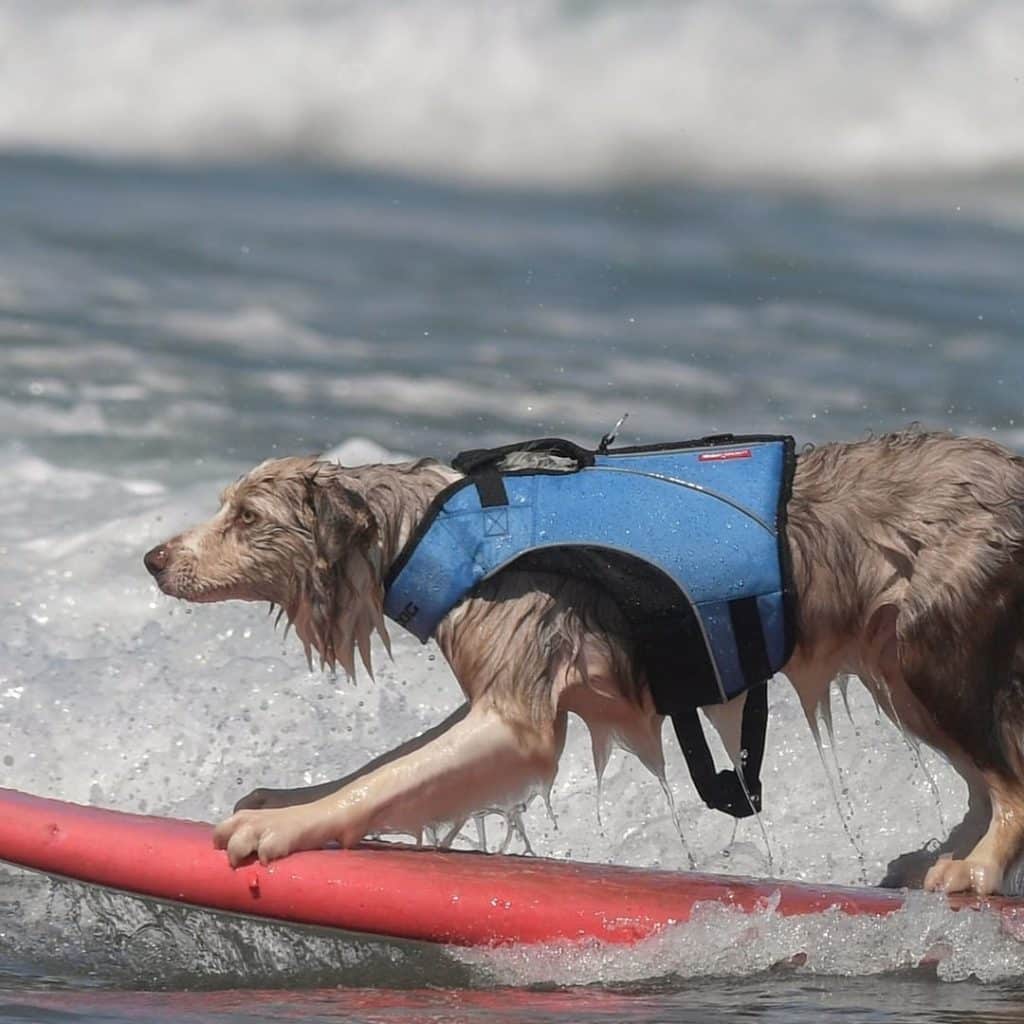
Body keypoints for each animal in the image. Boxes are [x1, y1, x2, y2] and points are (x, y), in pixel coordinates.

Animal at [146, 428, 1024, 892]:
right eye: (226, 508)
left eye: (247, 517)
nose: (153, 560)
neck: (432, 531)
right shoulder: (499, 685)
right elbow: (389, 763)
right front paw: (287, 796)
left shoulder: (518, 714)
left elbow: (390, 779)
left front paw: (279, 828)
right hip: (895, 664)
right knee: (983, 777)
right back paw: (938, 855)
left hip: (929, 652)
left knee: (1009, 781)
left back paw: (975, 870)